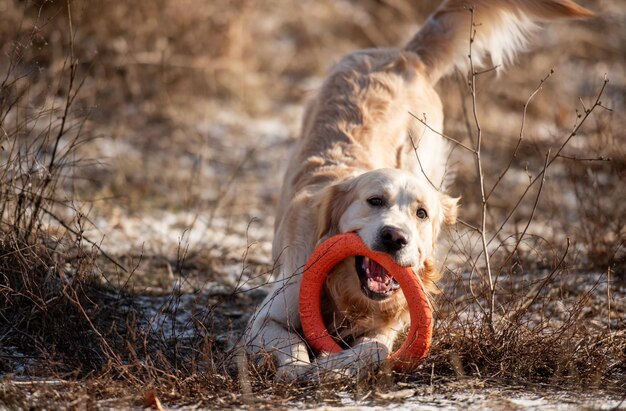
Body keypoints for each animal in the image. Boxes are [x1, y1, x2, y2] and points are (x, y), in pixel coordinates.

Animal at [244, 0, 588, 384]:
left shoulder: (387, 326)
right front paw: (302, 368)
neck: (345, 290)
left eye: (421, 214)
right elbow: (291, 344)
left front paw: (334, 366)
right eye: (374, 201)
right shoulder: (267, 318)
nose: (395, 237)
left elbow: (375, 349)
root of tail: (406, 56)